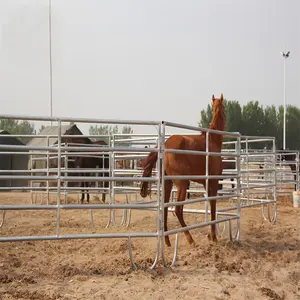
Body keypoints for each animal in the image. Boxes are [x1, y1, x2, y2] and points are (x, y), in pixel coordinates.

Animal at [139, 94, 224, 246]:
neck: (212, 140)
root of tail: (165, 145)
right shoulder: (213, 181)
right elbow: (213, 205)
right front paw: (213, 236)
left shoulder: (206, 183)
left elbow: (210, 204)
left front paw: (210, 235)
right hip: (182, 184)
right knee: (178, 210)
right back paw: (190, 239)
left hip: (168, 184)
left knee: (166, 208)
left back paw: (167, 241)